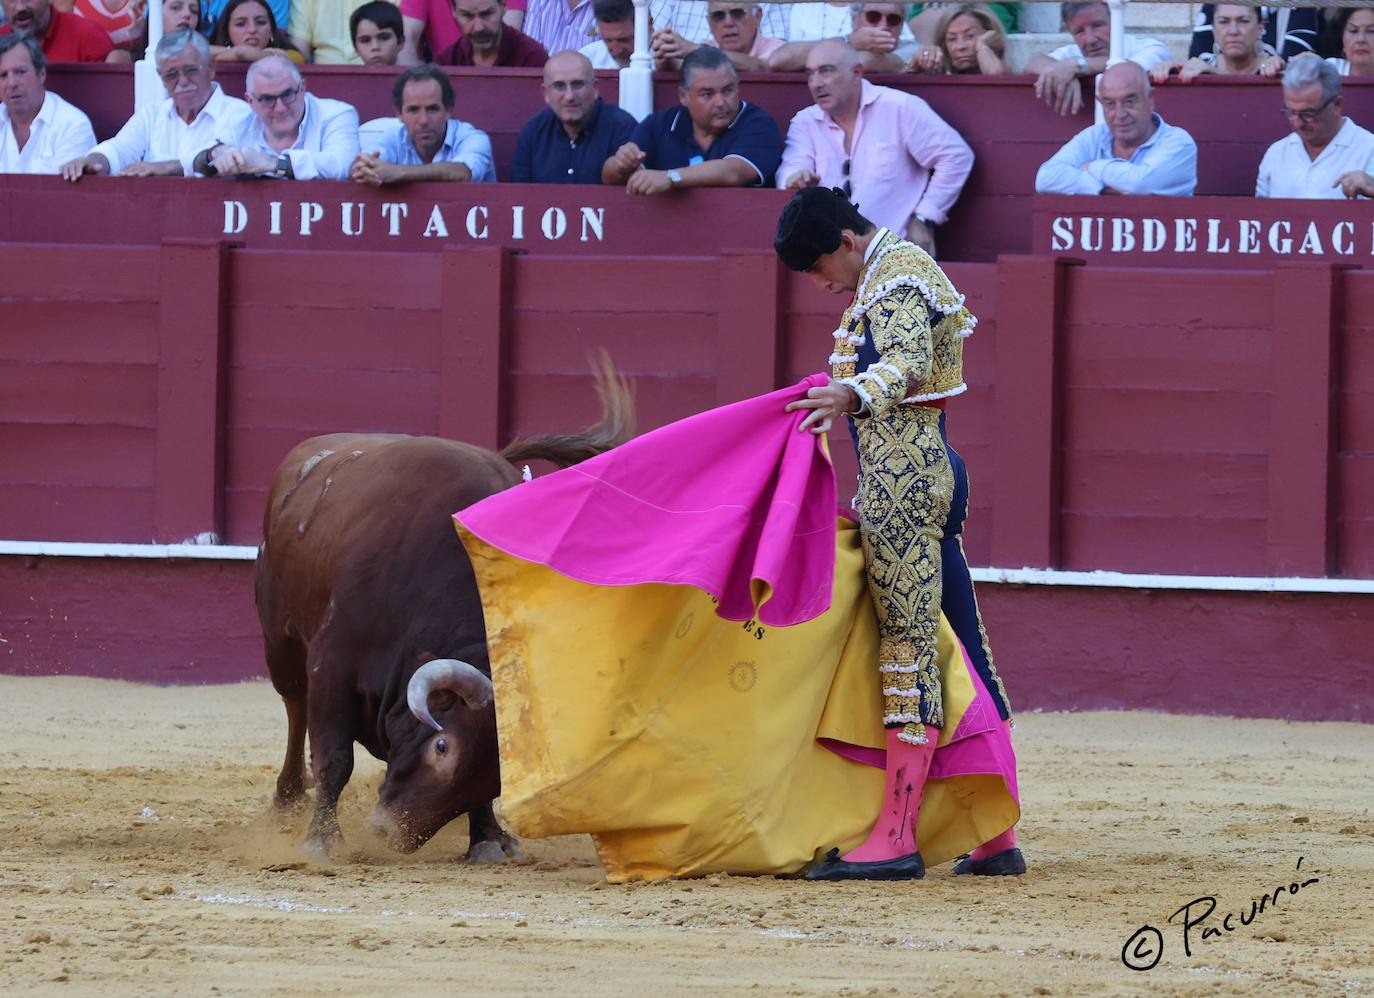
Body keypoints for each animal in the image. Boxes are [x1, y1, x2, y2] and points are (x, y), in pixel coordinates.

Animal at [255, 365, 629, 857]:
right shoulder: (330, 665)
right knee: (295, 707)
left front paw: (489, 840)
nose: (393, 833)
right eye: (441, 747)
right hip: (279, 641)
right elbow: (334, 757)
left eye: (500, 779)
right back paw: (288, 799)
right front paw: (322, 841)